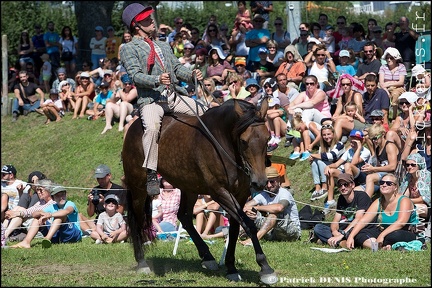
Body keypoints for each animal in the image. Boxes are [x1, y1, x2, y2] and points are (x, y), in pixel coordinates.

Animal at [121, 98, 278, 284]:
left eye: (267, 138)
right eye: (244, 141)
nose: (259, 182)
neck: (222, 142)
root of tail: (132, 127)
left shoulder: (240, 194)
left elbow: (235, 228)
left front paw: (231, 267)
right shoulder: (219, 192)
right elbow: (248, 225)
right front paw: (265, 268)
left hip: (189, 187)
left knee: (184, 217)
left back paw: (207, 257)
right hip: (138, 187)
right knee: (136, 219)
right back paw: (142, 262)